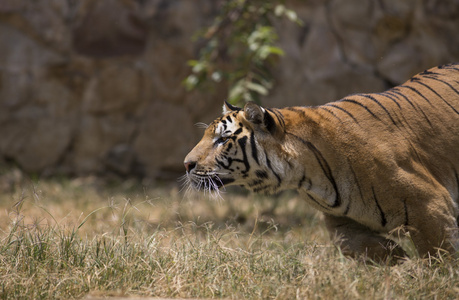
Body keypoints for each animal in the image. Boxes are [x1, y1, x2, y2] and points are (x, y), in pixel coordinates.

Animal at [183, 63, 459, 262]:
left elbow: (440, 256)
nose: (186, 164)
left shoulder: (429, 204)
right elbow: (352, 245)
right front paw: (399, 262)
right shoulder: (341, 221)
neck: (304, 176)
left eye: (222, 139)